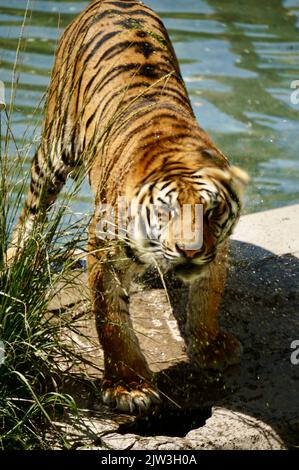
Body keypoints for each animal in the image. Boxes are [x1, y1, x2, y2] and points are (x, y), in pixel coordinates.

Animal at [8, 0, 250, 414]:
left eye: (211, 212)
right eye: (167, 212)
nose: (189, 251)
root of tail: (113, 2)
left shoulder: (218, 248)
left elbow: (207, 297)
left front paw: (211, 348)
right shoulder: (104, 248)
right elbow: (112, 320)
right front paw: (129, 386)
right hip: (56, 146)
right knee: (32, 210)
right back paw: (15, 260)